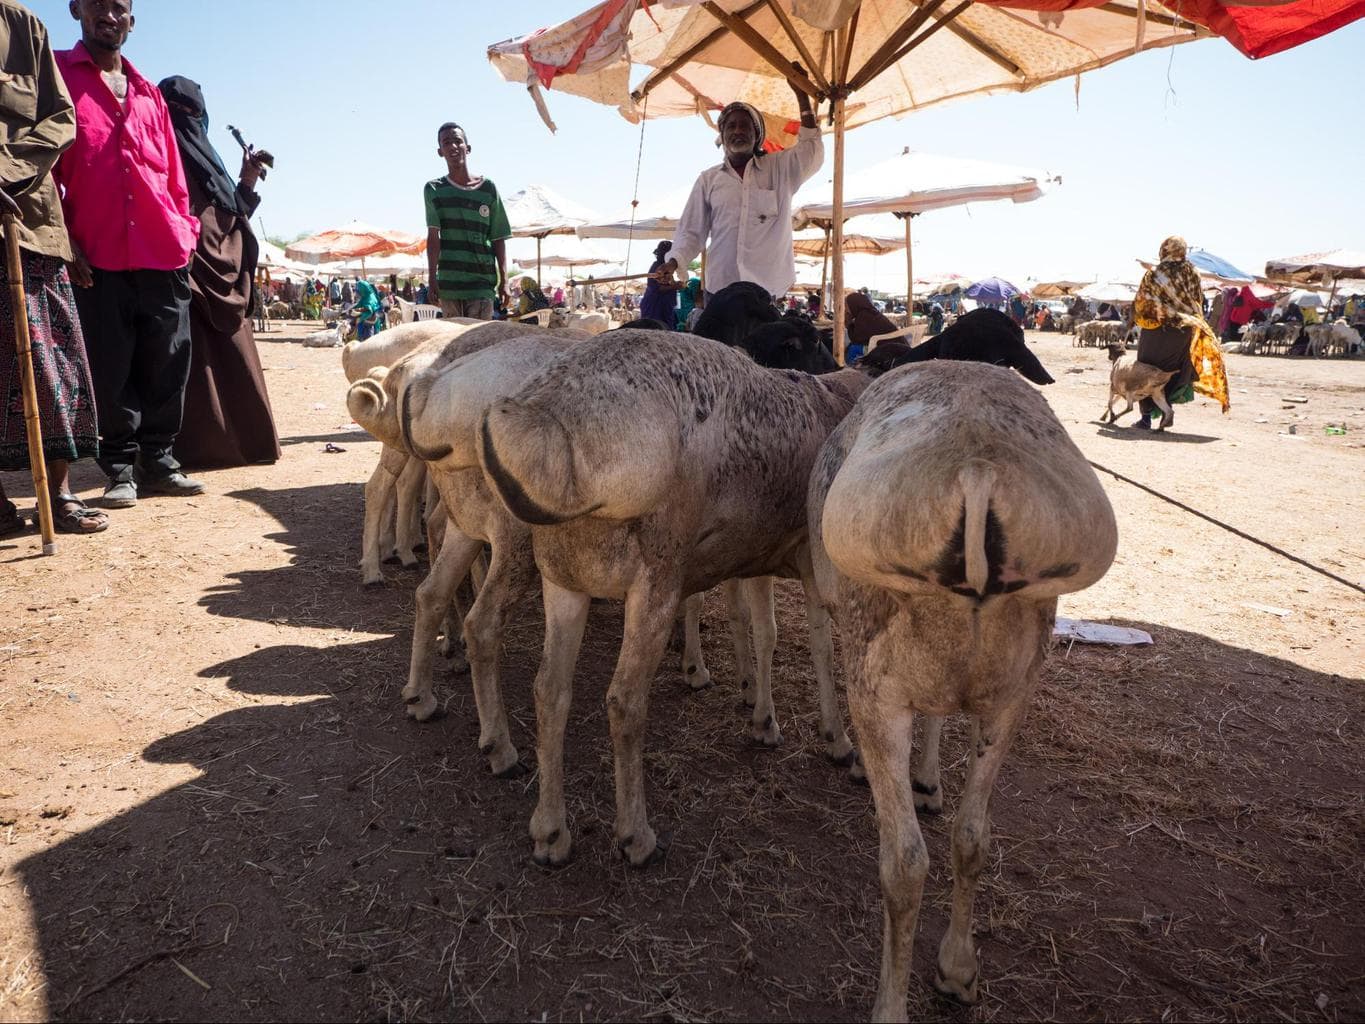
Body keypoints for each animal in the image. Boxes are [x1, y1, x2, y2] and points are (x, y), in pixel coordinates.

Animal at [475, 333, 868, 868]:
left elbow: (760, 630)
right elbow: (817, 647)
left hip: (564, 574)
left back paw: (549, 830)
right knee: (623, 700)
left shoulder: (756, 557)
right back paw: (636, 836)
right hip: (654, 574)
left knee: (547, 689)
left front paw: (758, 707)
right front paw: (835, 738)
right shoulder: (812, 559)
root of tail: (546, 423)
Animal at [802, 360, 1113, 1021]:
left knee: (904, 861)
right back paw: (959, 968)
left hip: (876, 673)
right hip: (1014, 686)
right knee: (973, 836)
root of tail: (977, 469)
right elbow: (968, 825)